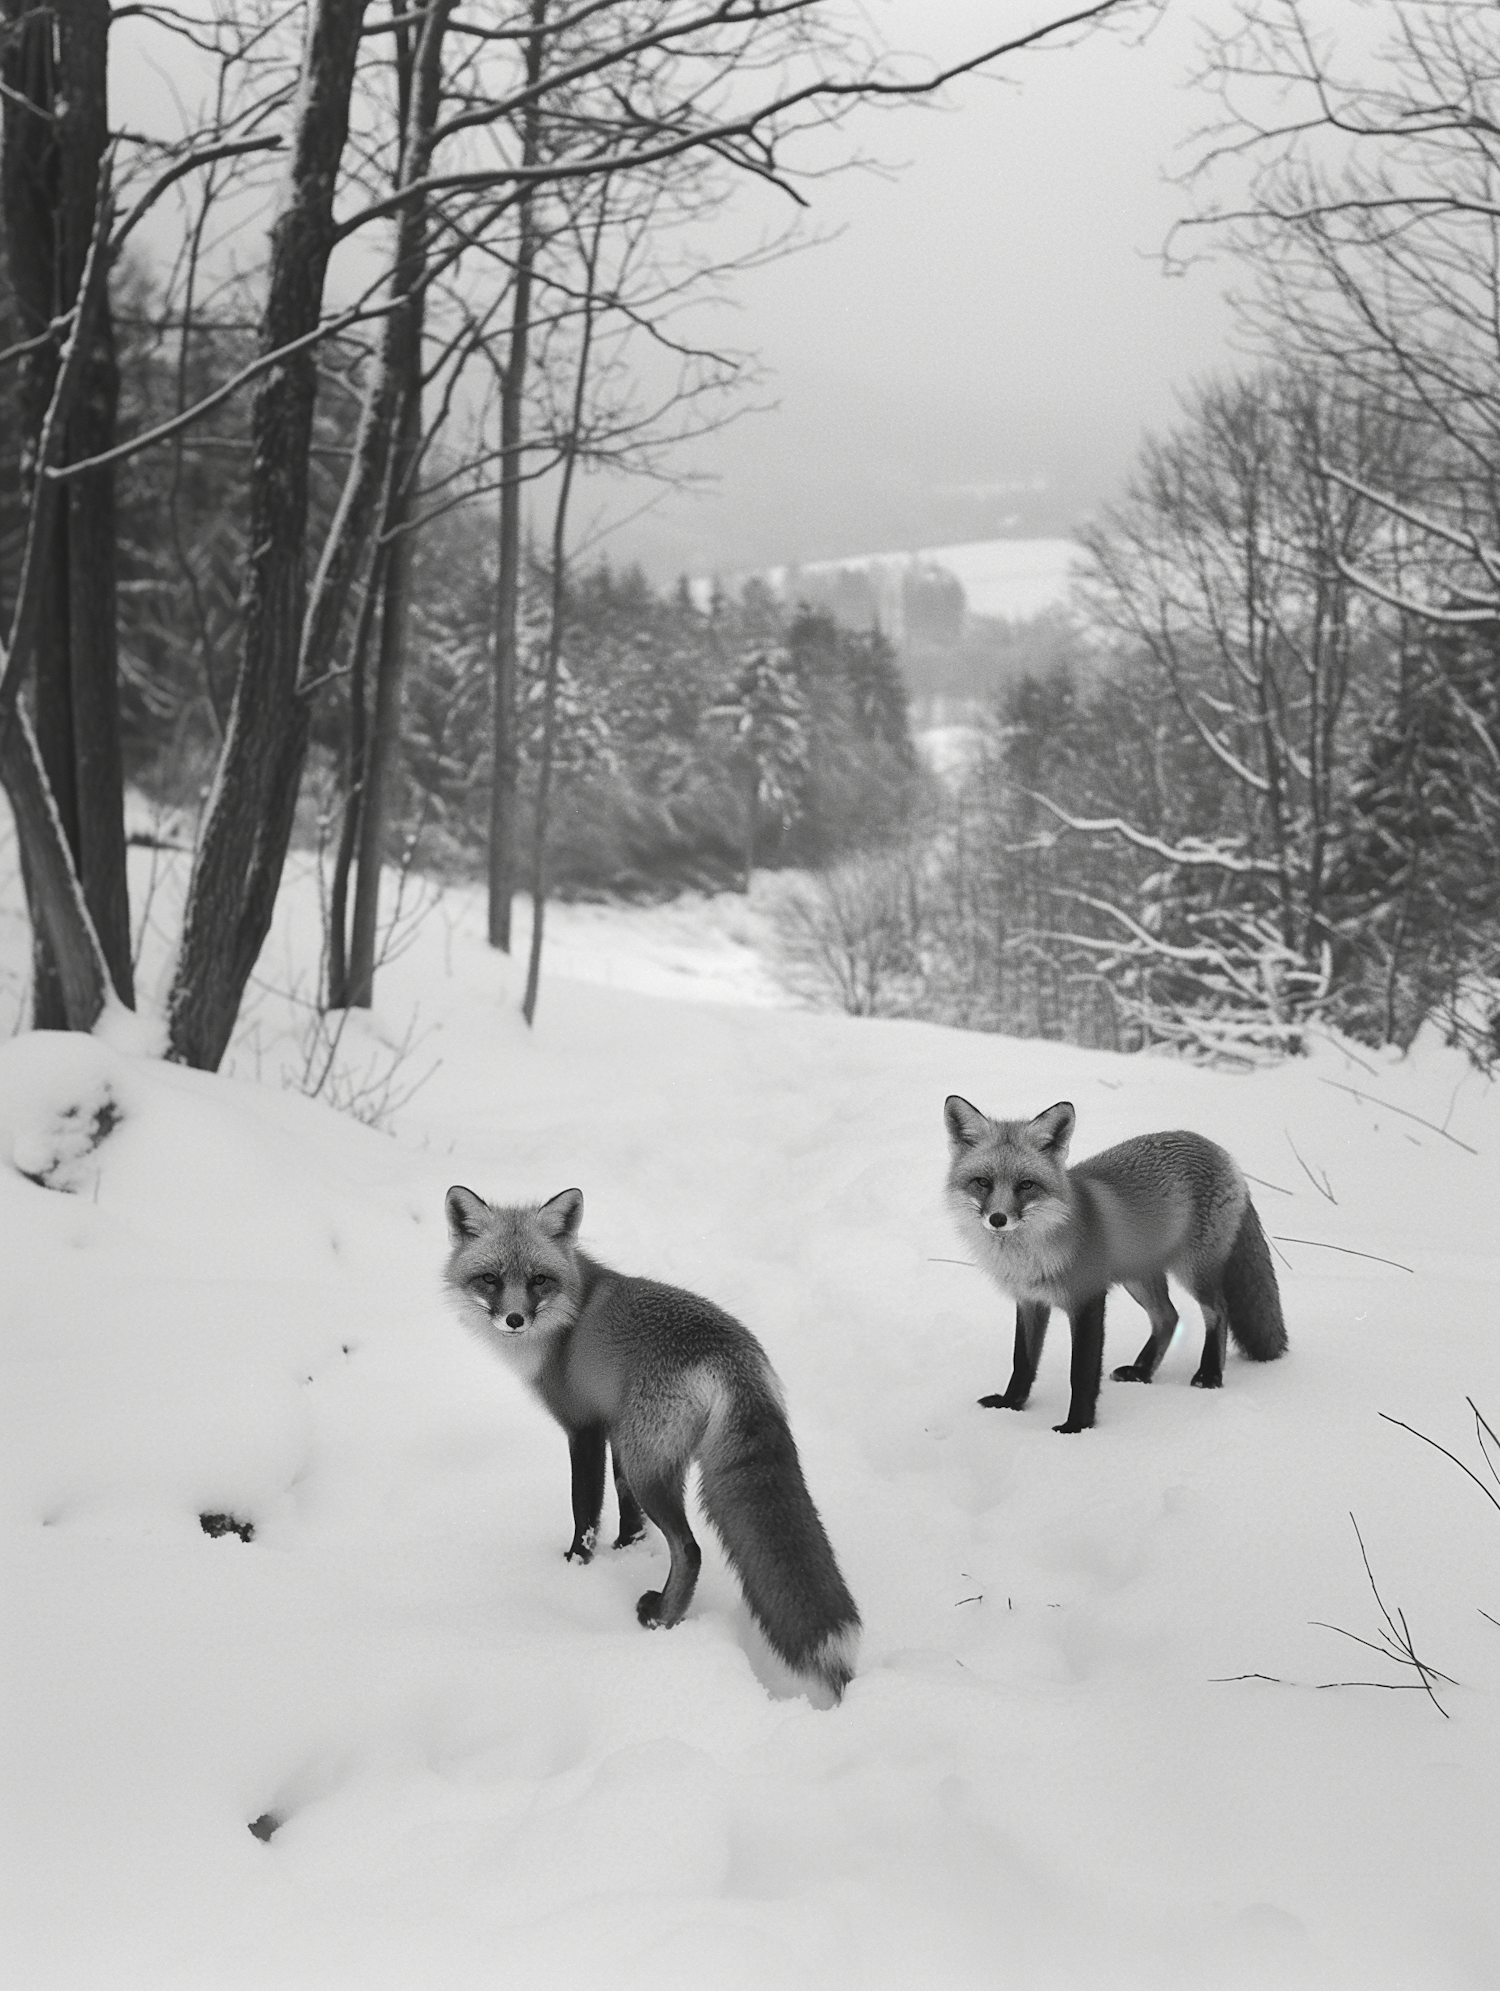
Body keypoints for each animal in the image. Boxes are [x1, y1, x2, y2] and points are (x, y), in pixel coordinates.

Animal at [438, 1186, 860, 1704]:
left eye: (538, 1279)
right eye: (490, 1279)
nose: (514, 1319)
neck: (568, 1318)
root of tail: (732, 1354)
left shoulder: (585, 1428)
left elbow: (585, 1509)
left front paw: (577, 1565)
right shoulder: (616, 1428)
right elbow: (627, 1512)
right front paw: (626, 1549)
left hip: (650, 1465)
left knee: (690, 1549)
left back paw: (662, 1618)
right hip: (645, 1448)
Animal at [940, 1099, 1282, 1441]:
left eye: (1026, 1185)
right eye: (983, 1182)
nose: (998, 1219)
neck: (1033, 1255)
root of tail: (1217, 1149)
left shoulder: (1088, 1298)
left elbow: (1081, 1372)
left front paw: (1077, 1426)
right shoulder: (1029, 1301)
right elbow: (1022, 1362)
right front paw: (1011, 1405)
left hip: (1193, 1270)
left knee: (1217, 1310)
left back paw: (1209, 1374)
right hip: (1139, 1278)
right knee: (1167, 1316)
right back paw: (1142, 1371)